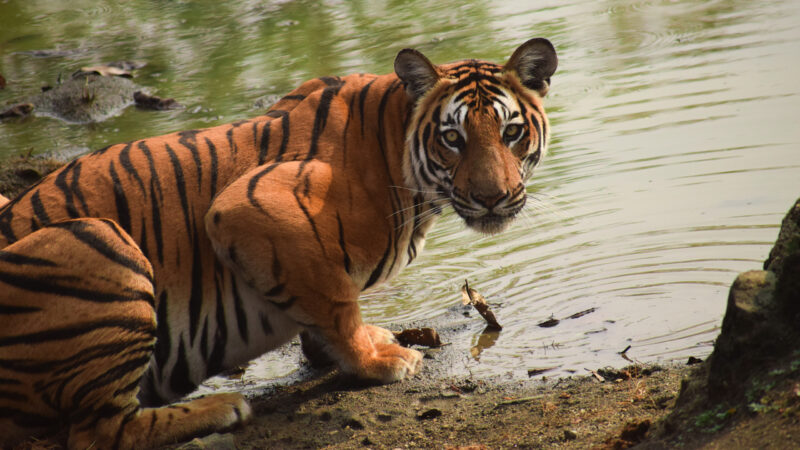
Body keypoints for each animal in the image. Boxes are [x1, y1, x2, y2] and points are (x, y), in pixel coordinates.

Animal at [0, 38, 557, 449]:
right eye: (453, 138)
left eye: (510, 133)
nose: (492, 198)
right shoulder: (246, 205)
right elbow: (336, 300)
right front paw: (377, 362)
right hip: (101, 238)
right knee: (100, 432)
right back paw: (220, 408)